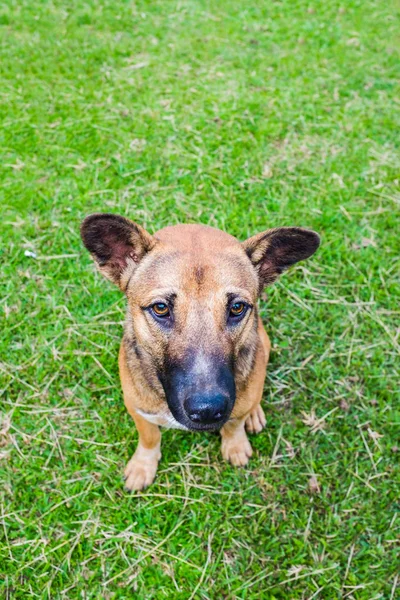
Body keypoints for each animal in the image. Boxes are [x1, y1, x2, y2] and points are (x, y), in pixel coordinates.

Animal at [80, 213, 318, 490]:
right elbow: (149, 437)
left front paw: (235, 445)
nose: (207, 411)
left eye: (237, 307)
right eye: (160, 308)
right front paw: (143, 465)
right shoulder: (138, 409)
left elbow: (234, 424)